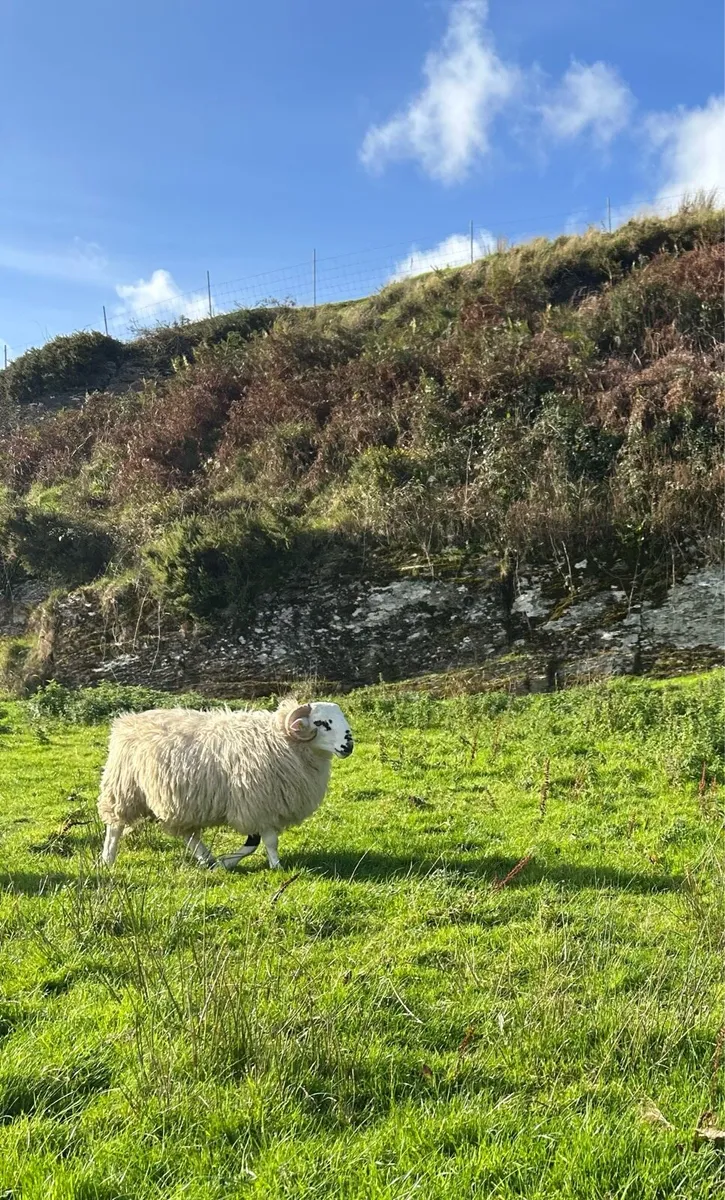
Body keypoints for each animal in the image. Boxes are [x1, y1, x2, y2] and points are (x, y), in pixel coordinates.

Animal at [97, 698, 354, 870]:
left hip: (180, 801)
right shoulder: (259, 804)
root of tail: (128, 720)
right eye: (321, 723)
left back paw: (208, 860)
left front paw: (226, 862)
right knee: (115, 826)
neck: (282, 739)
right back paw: (107, 859)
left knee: (189, 835)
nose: (348, 746)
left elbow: (254, 842)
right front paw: (276, 866)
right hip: (124, 789)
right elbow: (267, 841)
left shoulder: (257, 805)